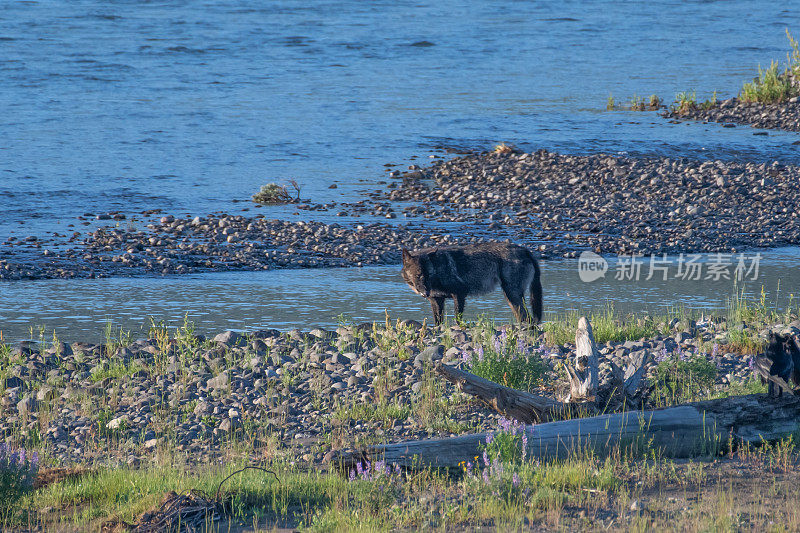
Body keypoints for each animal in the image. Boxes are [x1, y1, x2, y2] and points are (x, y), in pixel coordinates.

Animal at [400, 241, 544, 324]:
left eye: (429, 274)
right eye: (418, 275)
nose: (426, 293)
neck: (439, 269)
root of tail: (525, 250)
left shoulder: (460, 294)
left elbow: (458, 319)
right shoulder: (437, 300)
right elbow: (437, 322)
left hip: (512, 294)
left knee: (528, 318)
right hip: (512, 298)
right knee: (524, 318)